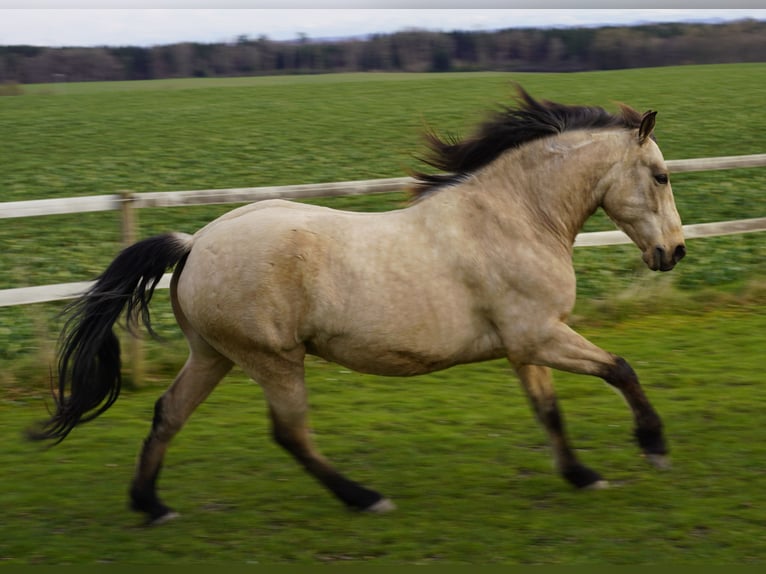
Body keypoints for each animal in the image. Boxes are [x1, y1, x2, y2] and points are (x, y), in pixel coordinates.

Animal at [30, 86, 686, 524]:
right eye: (660, 175)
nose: (674, 252)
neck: (515, 218)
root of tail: (194, 245)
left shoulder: (523, 345)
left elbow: (548, 411)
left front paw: (581, 476)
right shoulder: (541, 335)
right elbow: (620, 368)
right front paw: (653, 447)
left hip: (214, 356)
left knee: (168, 412)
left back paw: (151, 504)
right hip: (273, 360)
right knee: (290, 432)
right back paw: (366, 498)